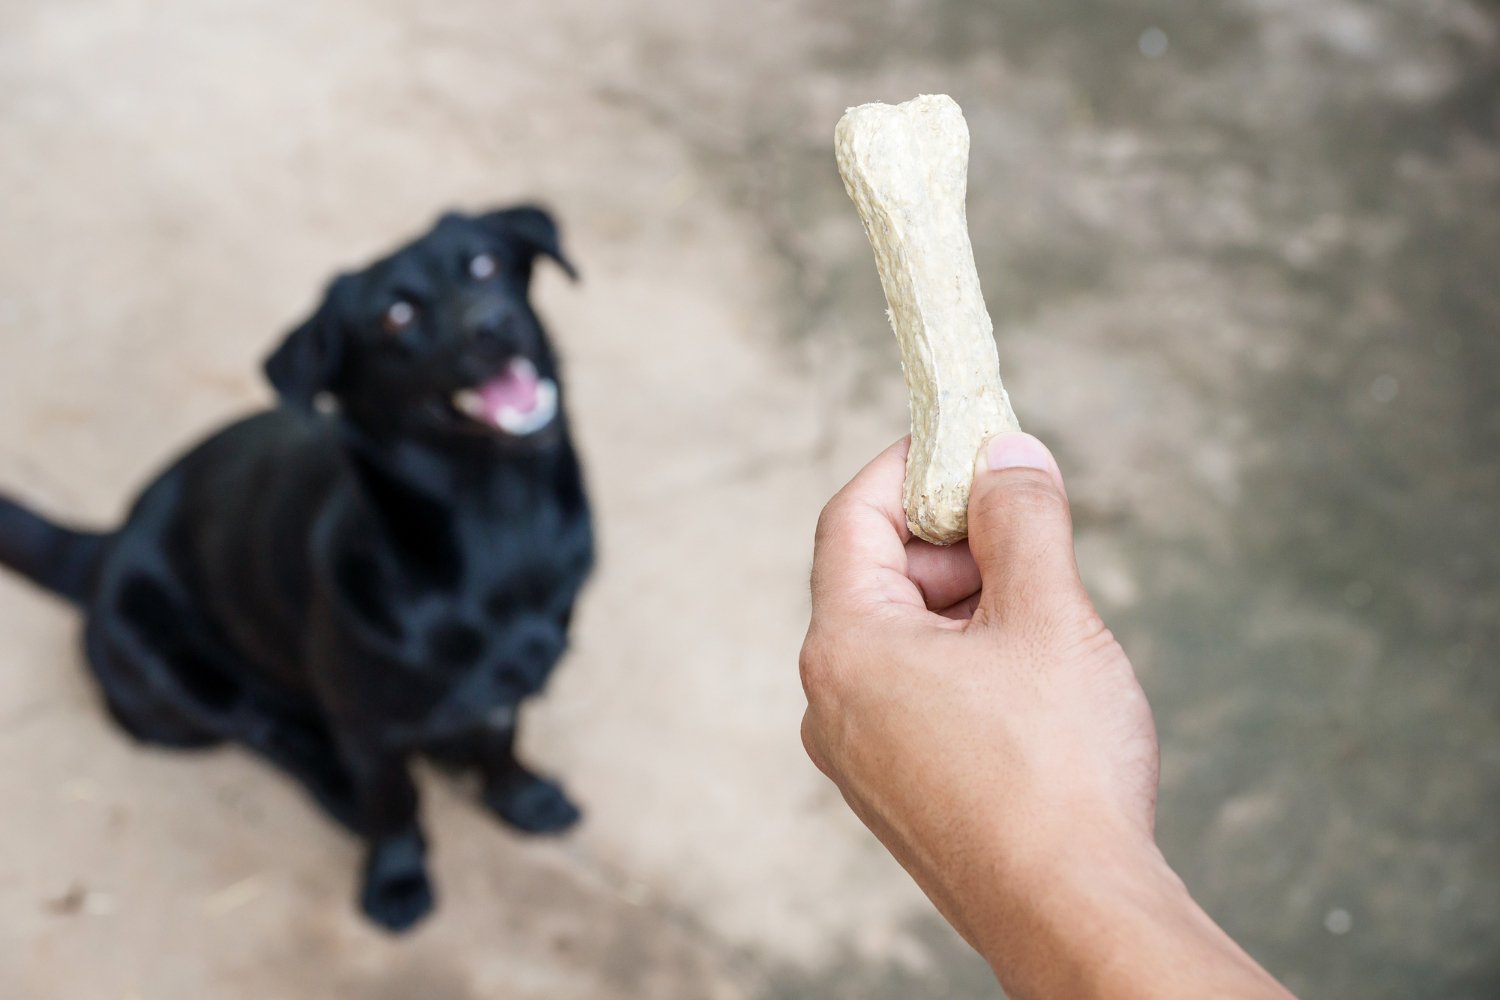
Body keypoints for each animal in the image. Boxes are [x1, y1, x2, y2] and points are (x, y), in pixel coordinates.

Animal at [0, 206, 591, 935]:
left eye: (486, 263)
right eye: (396, 314)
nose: (494, 324)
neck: (502, 525)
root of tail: (106, 544)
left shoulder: (509, 685)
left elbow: (503, 744)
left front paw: (523, 798)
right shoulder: (369, 726)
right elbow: (394, 799)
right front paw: (397, 878)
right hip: (179, 680)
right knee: (268, 730)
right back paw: (341, 790)